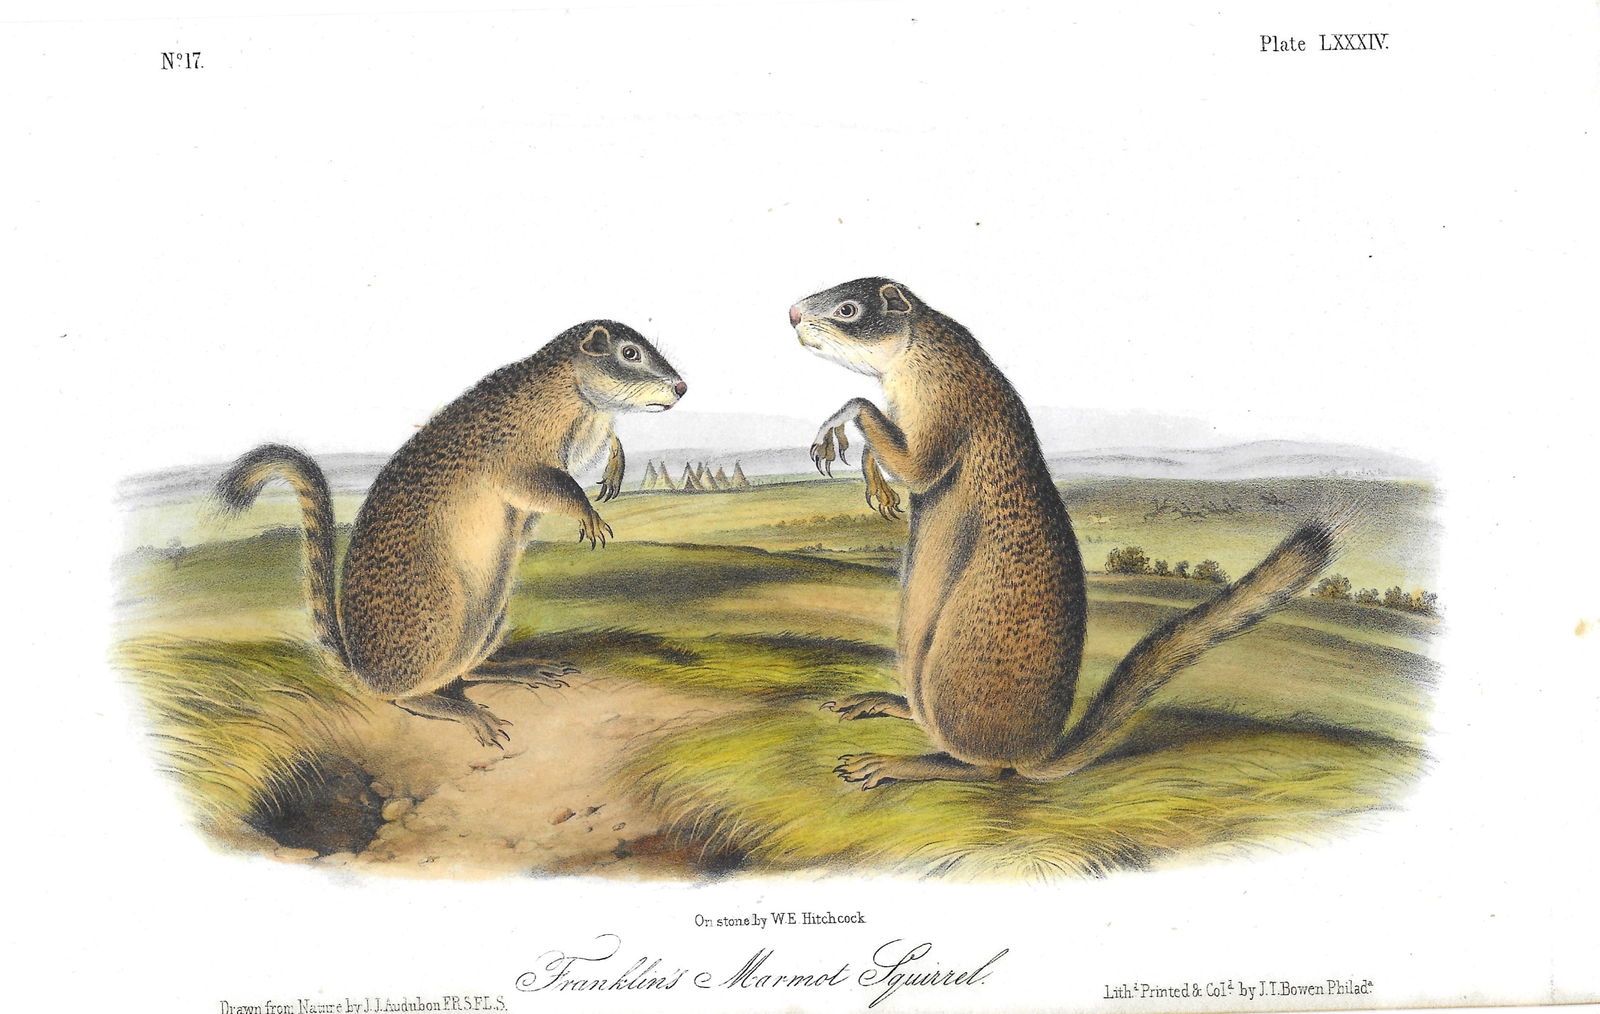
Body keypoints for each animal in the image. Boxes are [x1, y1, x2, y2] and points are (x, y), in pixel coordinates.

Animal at [214, 321, 687, 747]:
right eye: (630, 354)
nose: (682, 387)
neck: (570, 389)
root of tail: (362, 672)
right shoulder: (518, 459)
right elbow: (551, 486)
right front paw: (589, 514)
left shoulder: (589, 430)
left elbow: (604, 444)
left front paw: (615, 463)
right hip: (444, 620)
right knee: (406, 696)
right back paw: (462, 711)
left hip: (492, 611)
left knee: (470, 668)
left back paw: (521, 669)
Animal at [789, 278, 1338, 788]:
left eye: (847, 309)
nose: (792, 313)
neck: (922, 347)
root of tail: (1038, 753)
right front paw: (873, 480)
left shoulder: (947, 401)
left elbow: (908, 457)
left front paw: (840, 427)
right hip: (913, 641)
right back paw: (883, 702)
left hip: (955, 656)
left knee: (987, 767)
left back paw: (895, 764)